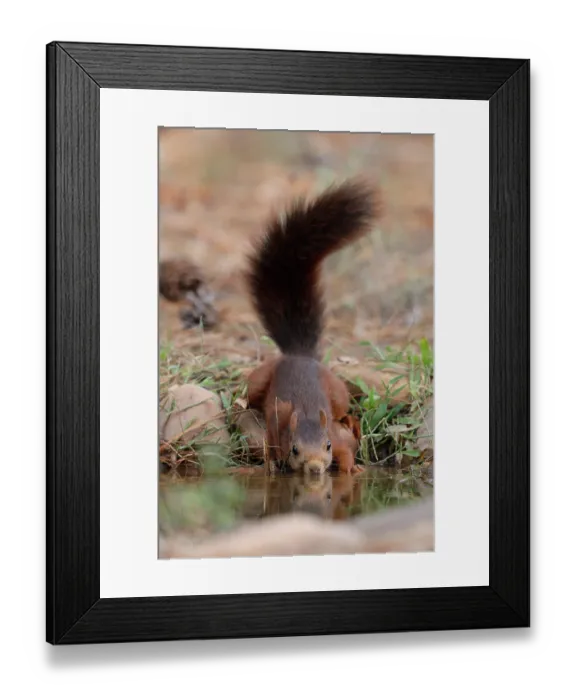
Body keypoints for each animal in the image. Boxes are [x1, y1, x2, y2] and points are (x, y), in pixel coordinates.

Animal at [244, 178, 379, 475]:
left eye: (326, 446)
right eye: (295, 449)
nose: (315, 468)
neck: (306, 415)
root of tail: (300, 353)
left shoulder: (336, 437)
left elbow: (346, 451)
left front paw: (352, 469)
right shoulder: (277, 427)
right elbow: (272, 444)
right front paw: (272, 466)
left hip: (338, 394)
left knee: (343, 409)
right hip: (257, 382)